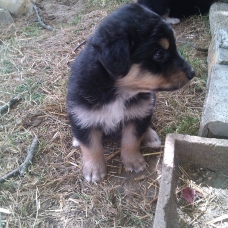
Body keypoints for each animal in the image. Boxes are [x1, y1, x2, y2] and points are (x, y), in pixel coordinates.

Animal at [67, 2, 195, 183]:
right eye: (159, 54)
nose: (192, 73)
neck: (118, 91)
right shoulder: (83, 113)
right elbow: (91, 146)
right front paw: (94, 169)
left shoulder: (138, 113)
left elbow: (132, 139)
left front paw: (133, 161)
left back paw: (150, 136)